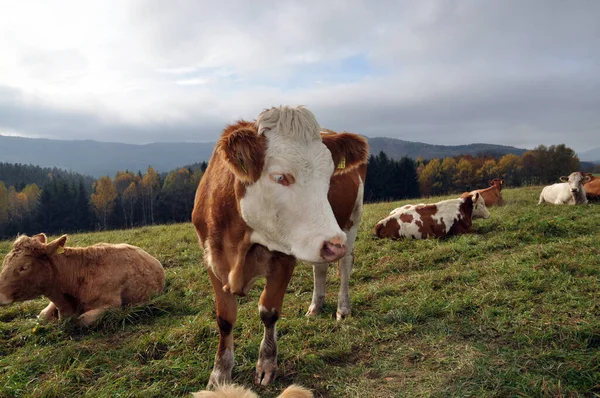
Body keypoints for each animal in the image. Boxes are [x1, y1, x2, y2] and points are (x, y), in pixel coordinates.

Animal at [192, 105, 368, 386]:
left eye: (329, 177)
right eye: (280, 177)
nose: (333, 244)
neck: (240, 244)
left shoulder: (284, 258)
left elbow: (269, 311)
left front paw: (266, 364)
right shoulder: (212, 259)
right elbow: (225, 319)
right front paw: (219, 374)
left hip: (351, 221)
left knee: (344, 266)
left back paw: (342, 308)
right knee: (320, 268)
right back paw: (316, 306)